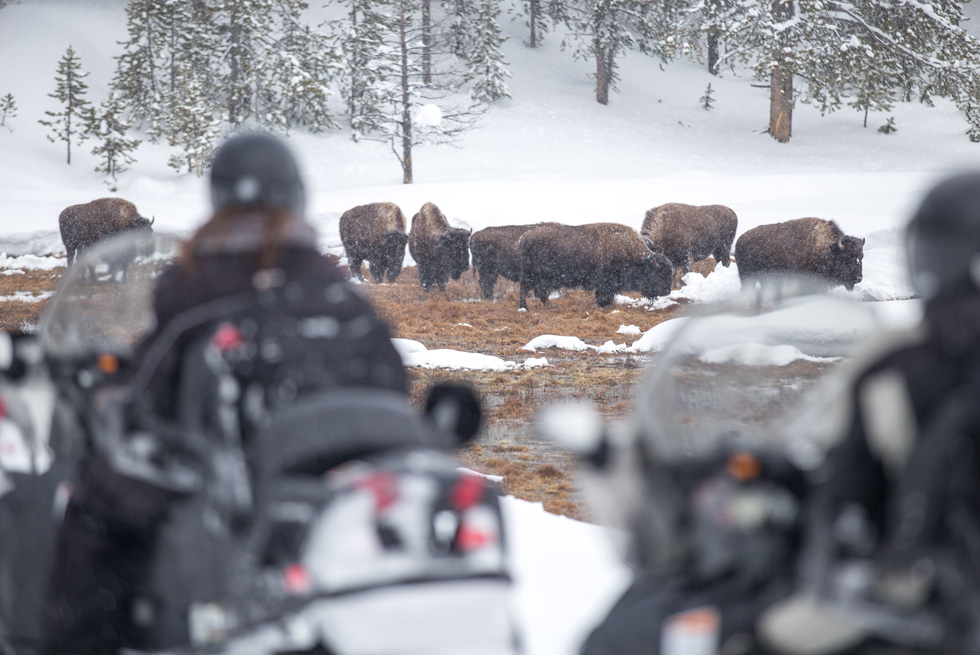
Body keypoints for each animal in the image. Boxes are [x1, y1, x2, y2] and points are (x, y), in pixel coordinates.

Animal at [518, 223, 674, 310]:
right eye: (658, 272)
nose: (667, 291)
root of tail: (524, 238)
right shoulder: (604, 283)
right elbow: (603, 295)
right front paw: (605, 305)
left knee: (540, 293)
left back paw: (549, 306)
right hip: (532, 277)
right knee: (526, 291)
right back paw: (525, 308)